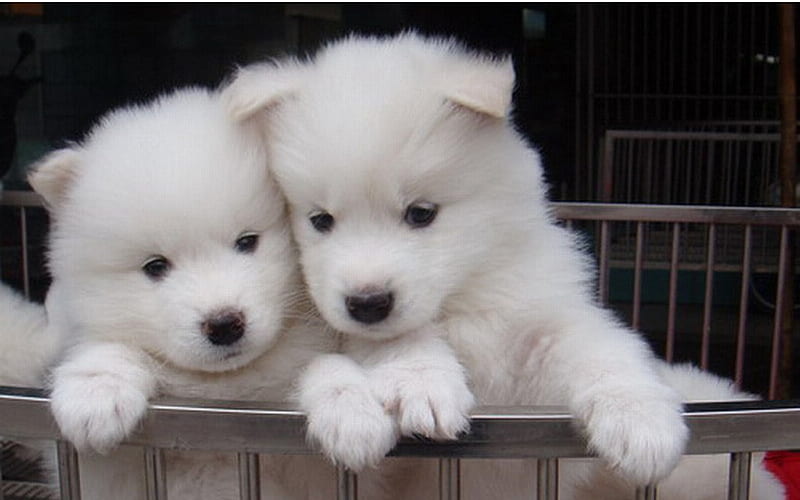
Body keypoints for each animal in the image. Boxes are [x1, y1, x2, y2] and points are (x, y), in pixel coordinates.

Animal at [30, 88, 334, 498]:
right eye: (155, 266)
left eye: (247, 242)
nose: (224, 324)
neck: (223, 392)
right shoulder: (104, 474)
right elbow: (110, 347)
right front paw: (96, 391)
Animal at [225, 33, 688, 486]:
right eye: (320, 220)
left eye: (421, 213)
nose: (367, 304)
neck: (461, 300)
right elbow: (397, 338)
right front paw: (422, 381)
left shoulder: (538, 323)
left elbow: (596, 348)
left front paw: (641, 420)